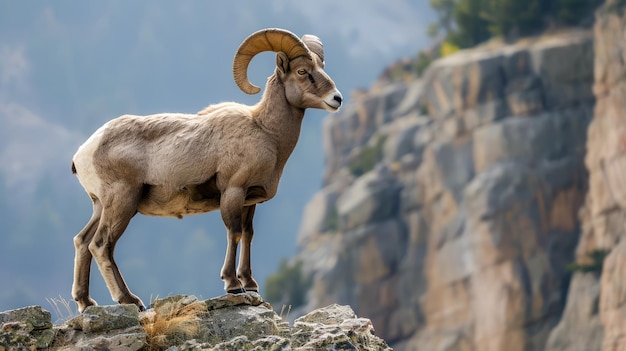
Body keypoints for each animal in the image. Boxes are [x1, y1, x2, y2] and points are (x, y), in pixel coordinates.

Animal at [70, 28, 342, 312]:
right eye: (302, 71)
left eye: (321, 67)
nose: (337, 99)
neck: (265, 131)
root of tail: (83, 152)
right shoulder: (233, 191)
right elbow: (233, 233)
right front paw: (233, 284)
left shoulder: (250, 201)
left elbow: (248, 234)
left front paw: (250, 283)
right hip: (122, 203)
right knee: (101, 245)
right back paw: (129, 299)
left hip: (101, 206)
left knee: (82, 241)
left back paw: (86, 302)